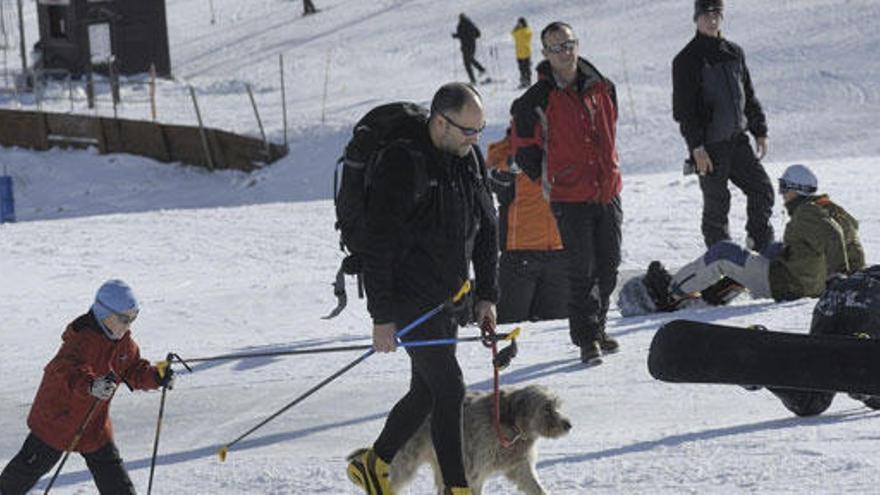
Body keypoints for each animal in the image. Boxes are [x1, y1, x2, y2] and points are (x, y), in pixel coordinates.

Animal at [386, 386, 572, 494]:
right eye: (546, 408)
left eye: (557, 406)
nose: (568, 425)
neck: (510, 424)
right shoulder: (474, 471)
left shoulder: (520, 466)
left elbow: (537, 487)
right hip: (407, 462)